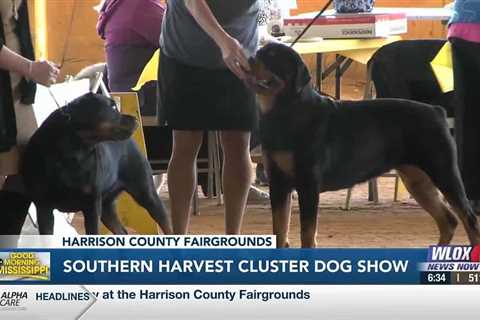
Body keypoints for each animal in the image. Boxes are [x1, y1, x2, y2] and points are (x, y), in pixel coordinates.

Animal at [23, 92, 172, 235]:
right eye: (112, 107)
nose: (135, 120)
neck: (71, 153)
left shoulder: (92, 206)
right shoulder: (44, 208)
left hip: (146, 193)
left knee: (167, 225)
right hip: (106, 206)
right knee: (121, 231)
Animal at [248, 42, 480, 248]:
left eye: (272, 56)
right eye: (261, 52)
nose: (250, 58)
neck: (287, 111)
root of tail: (437, 111)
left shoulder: (308, 184)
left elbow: (307, 234)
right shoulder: (279, 183)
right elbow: (279, 231)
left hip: (444, 172)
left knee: (469, 219)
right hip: (417, 179)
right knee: (448, 220)